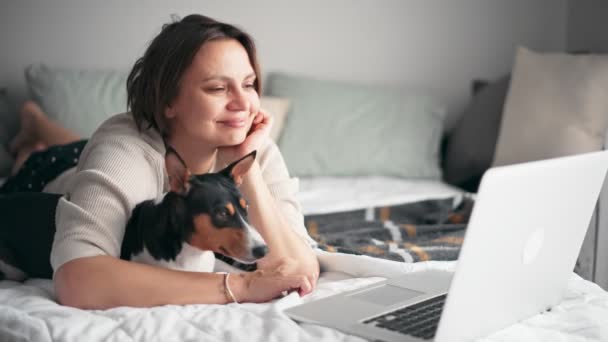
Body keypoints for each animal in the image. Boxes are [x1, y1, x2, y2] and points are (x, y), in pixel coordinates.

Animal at [0, 149, 266, 280]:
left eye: (247, 207)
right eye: (221, 213)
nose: (264, 250)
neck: (191, 252)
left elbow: (231, 269)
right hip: (13, 269)